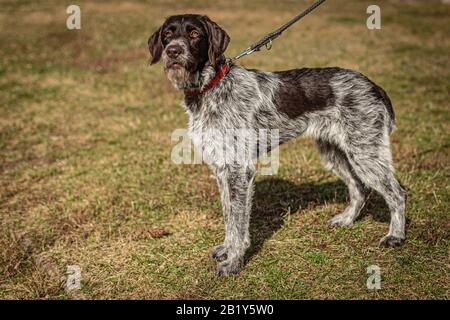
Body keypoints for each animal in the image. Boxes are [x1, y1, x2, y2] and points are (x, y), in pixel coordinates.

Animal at [149, 14, 408, 276]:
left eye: (194, 34)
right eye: (168, 34)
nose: (173, 51)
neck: (212, 86)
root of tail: (373, 86)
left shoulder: (239, 170)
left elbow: (238, 222)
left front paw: (234, 262)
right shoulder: (222, 169)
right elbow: (229, 216)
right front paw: (227, 249)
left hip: (365, 151)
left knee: (397, 193)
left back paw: (395, 236)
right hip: (335, 152)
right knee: (359, 188)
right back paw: (346, 220)